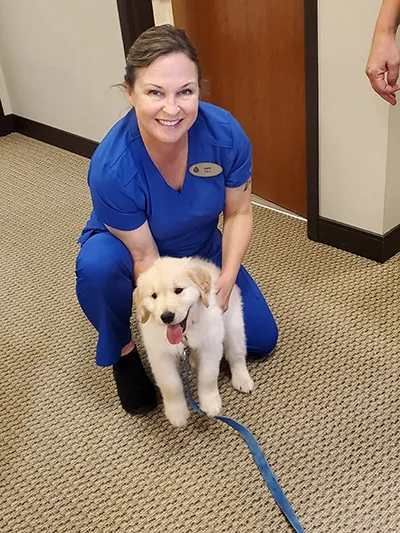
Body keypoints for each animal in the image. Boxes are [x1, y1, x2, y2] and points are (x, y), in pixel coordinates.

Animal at [134, 256, 253, 426]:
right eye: (154, 296)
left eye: (179, 290)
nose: (167, 316)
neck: (186, 332)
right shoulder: (160, 354)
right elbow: (170, 384)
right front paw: (177, 413)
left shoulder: (211, 345)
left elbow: (208, 376)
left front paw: (211, 403)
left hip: (233, 324)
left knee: (236, 354)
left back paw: (242, 379)